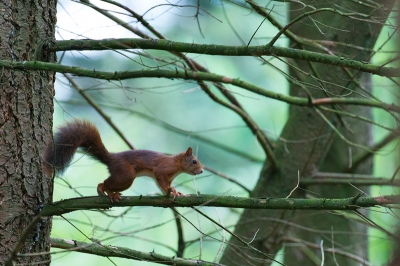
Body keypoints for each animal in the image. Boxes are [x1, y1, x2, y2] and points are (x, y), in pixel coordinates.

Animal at [43, 119, 203, 202]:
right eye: (194, 161)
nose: (201, 171)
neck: (176, 164)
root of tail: (111, 159)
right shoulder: (162, 170)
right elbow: (162, 182)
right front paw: (172, 193)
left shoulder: (169, 178)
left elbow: (167, 186)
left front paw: (177, 192)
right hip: (125, 175)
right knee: (105, 183)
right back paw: (108, 192)